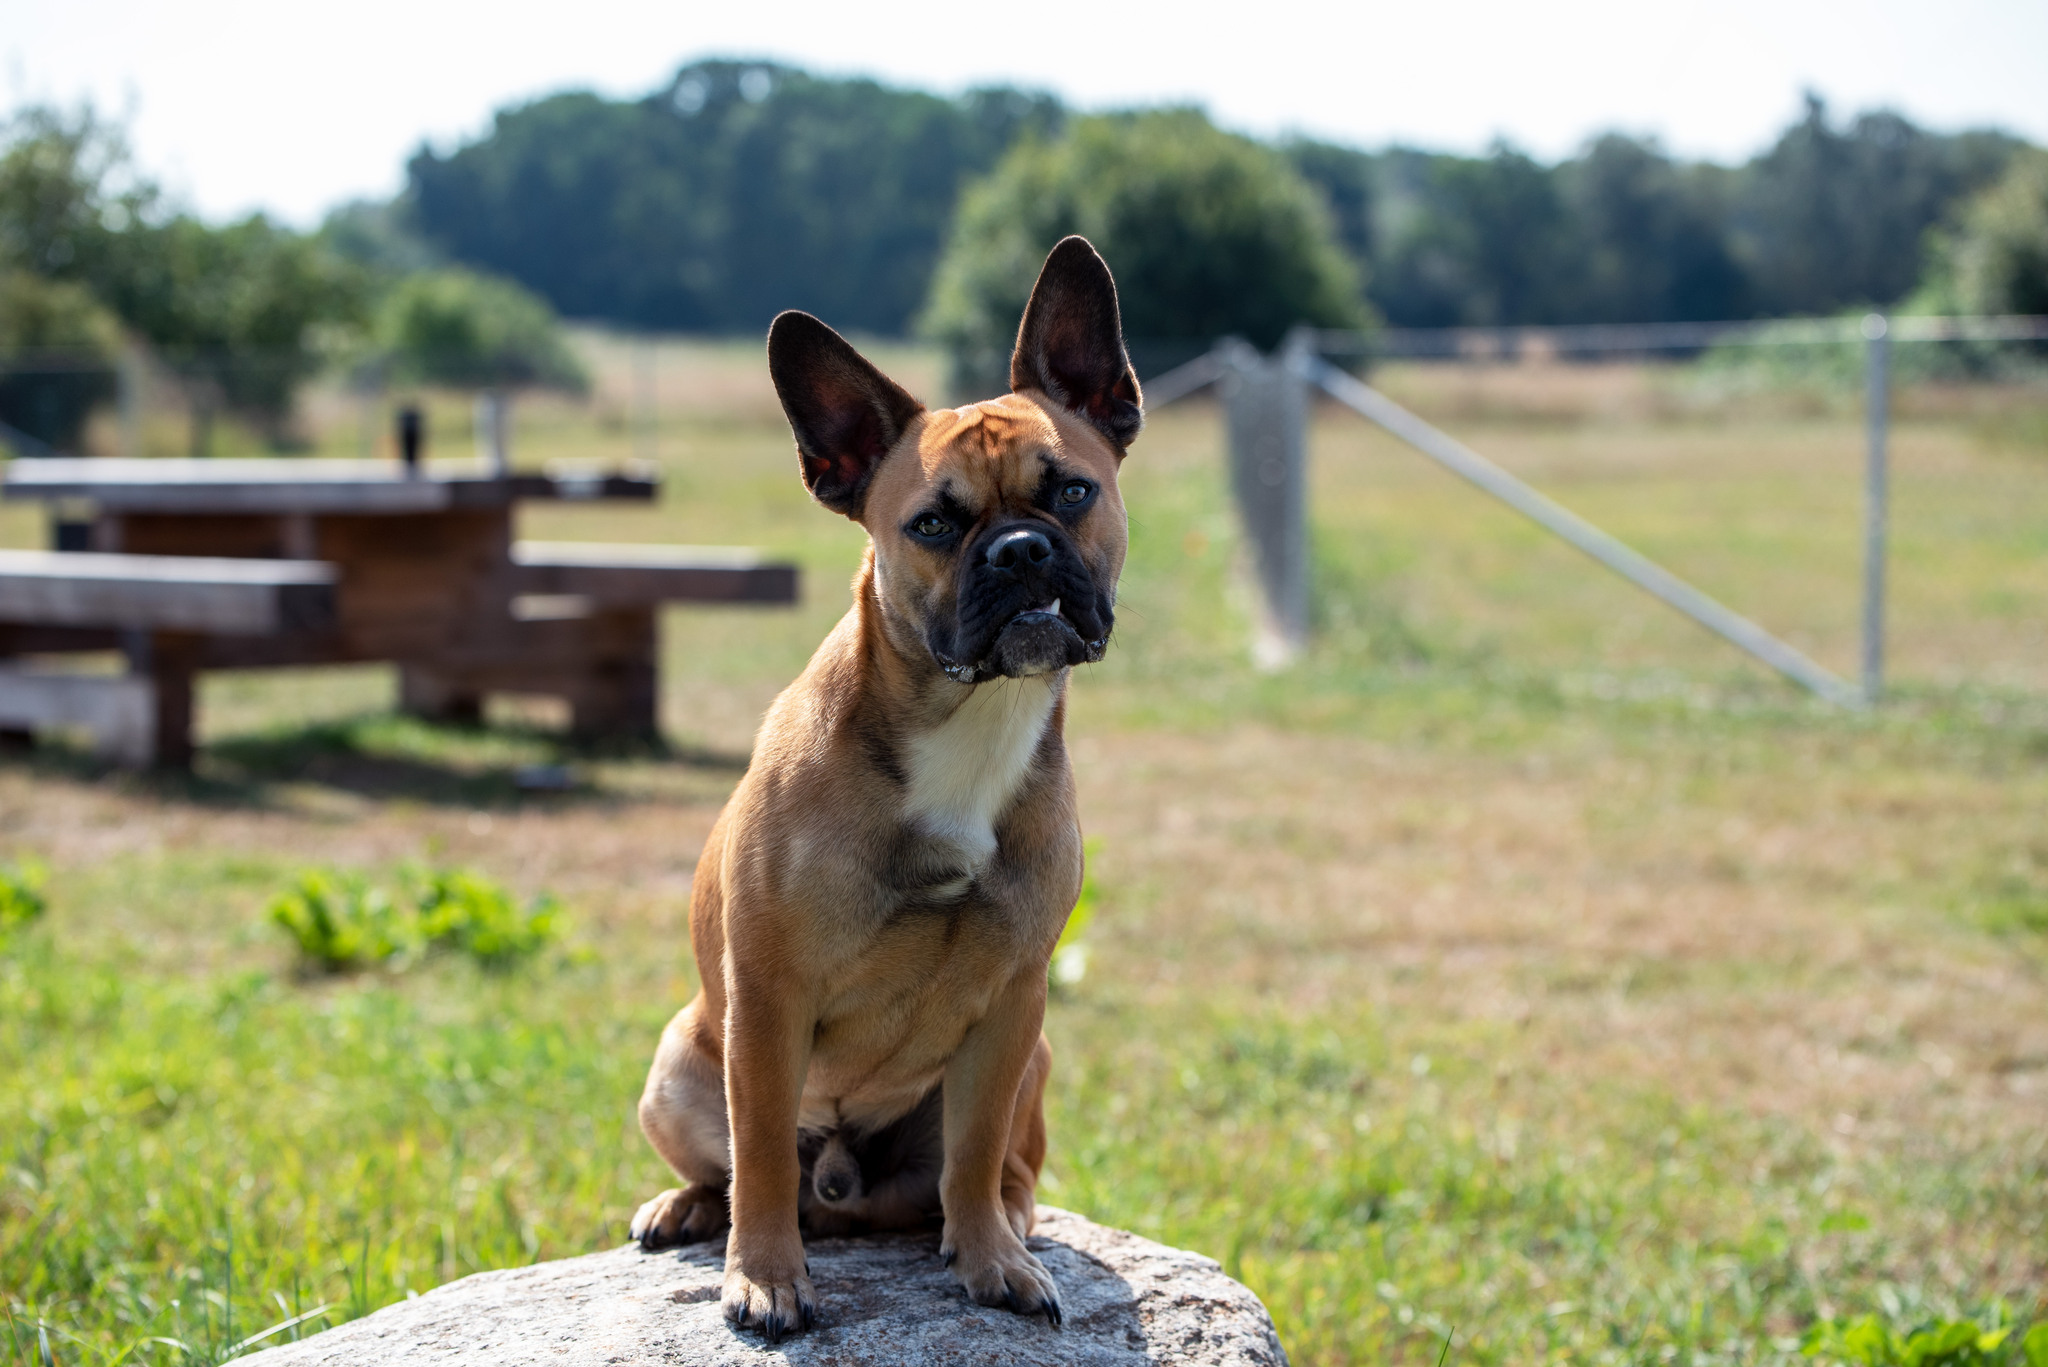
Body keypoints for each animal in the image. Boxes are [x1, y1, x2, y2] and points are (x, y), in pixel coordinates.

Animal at [626, 237, 1138, 1344]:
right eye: (934, 523)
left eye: (1072, 493)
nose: (1021, 547)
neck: (969, 718)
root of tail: (846, 1186)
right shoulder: (767, 1000)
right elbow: (761, 1152)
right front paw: (765, 1276)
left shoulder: (1012, 1002)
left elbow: (976, 1148)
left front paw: (990, 1260)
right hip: (679, 1062)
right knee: (740, 1167)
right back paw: (689, 1209)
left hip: (1033, 1060)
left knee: (993, 1173)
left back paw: (1001, 1227)